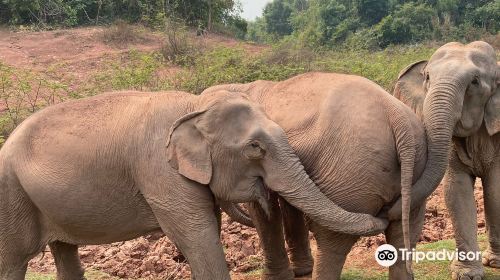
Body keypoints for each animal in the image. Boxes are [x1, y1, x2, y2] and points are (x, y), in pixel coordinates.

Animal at [0, 89, 386, 280]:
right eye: (255, 147)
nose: (383, 214)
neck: (196, 105)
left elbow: (207, 228)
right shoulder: (159, 171)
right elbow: (197, 234)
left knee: (64, 251)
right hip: (12, 197)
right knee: (14, 260)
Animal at [203, 72, 430, 280]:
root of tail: (397, 116)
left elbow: (263, 208)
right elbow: (289, 207)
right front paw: (301, 271)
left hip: (350, 174)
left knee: (333, 240)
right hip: (413, 172)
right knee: (404, 231)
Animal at [394, 41, 500, 280]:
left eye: (474, 82)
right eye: (427, 77)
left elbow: (495, 189)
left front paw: (494, 264)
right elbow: (456, 190)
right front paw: (466, 274)